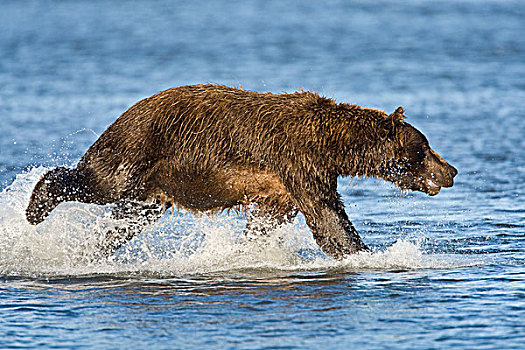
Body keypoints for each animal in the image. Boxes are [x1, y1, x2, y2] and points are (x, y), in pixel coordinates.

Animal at [26, 84, 456, 260]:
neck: (334, 147)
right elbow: (328, 218)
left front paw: (244, 250)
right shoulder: (298, 162)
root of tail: (127, 111)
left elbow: (266, 222)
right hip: (137, 149)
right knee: (99, 183)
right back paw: (34, 207)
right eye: (424, 148)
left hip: (153, 190)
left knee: (124, 221)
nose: (451, 170)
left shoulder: (280, 188)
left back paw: (88, 250)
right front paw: (369, 253)